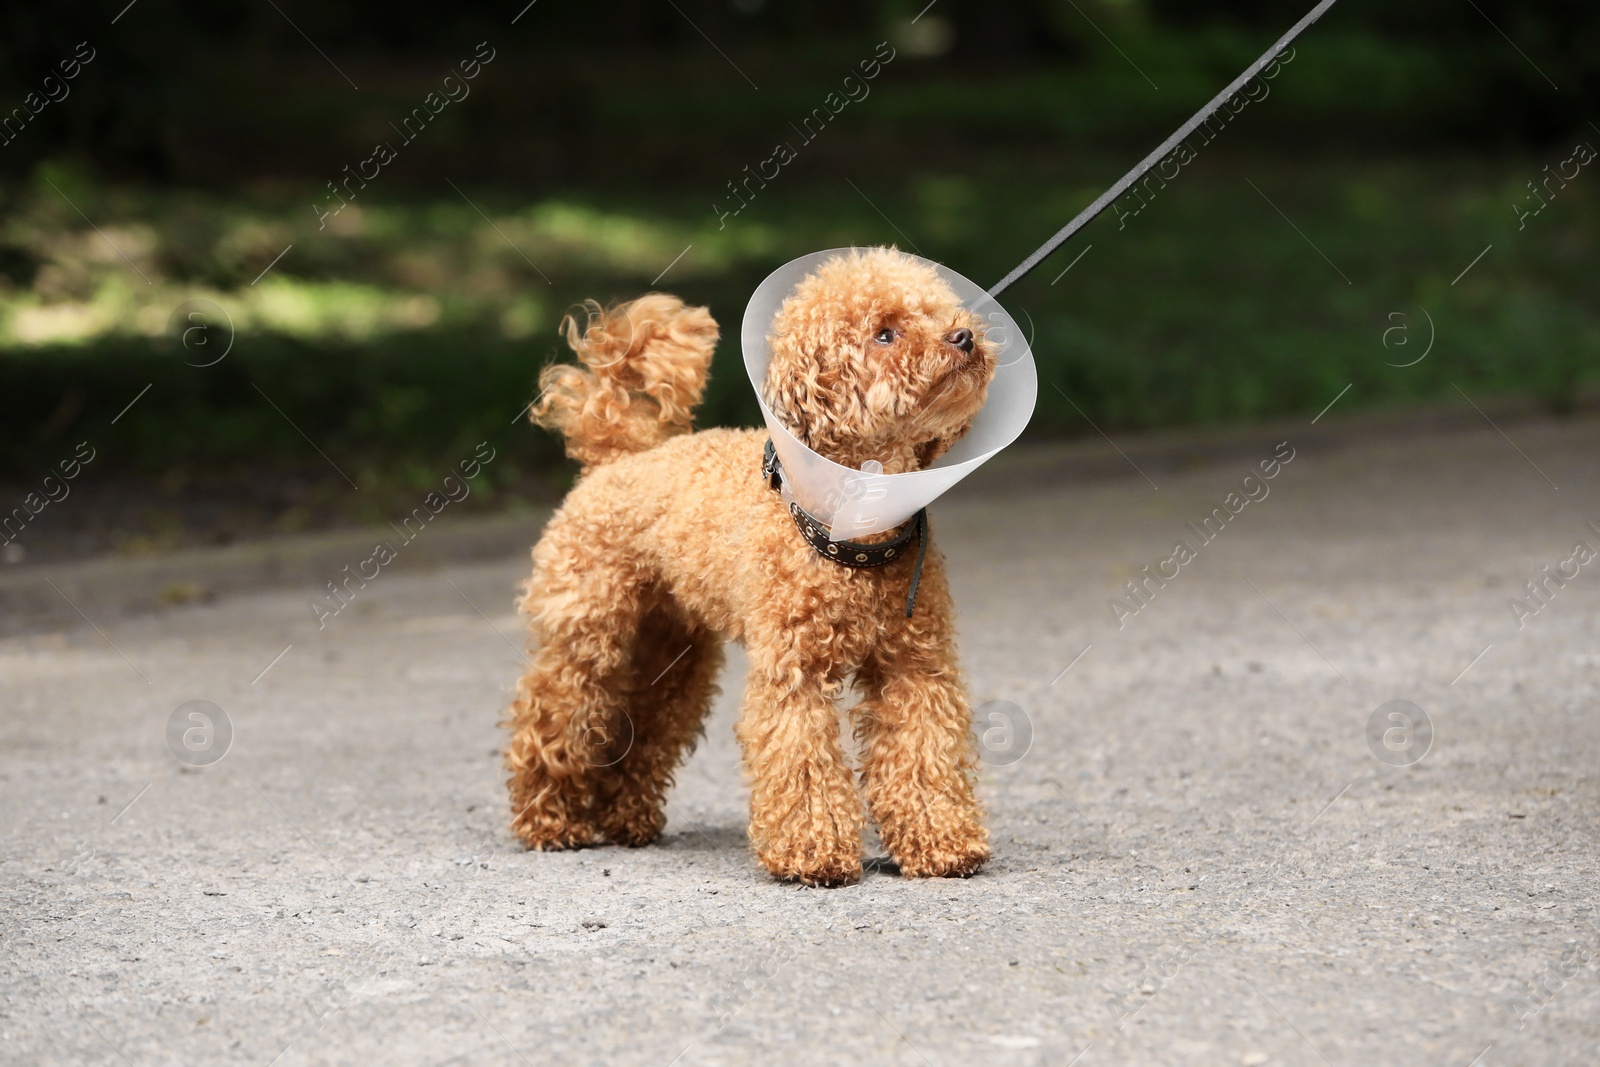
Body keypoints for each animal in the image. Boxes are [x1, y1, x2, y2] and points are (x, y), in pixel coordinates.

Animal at [505, 247, 992, 883]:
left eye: (936, 310)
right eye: (884, 334)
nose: (963, 336)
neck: (853, 529)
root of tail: (618, 455)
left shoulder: (914, 667)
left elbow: (923, 751)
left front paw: (942, 841)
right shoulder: (793, 672)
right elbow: (800, 758)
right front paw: (813, 853)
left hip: (669, 653)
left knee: (645, 725)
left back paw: (626, 818)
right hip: (588, 634)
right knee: (553, 715)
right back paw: (548, 820)